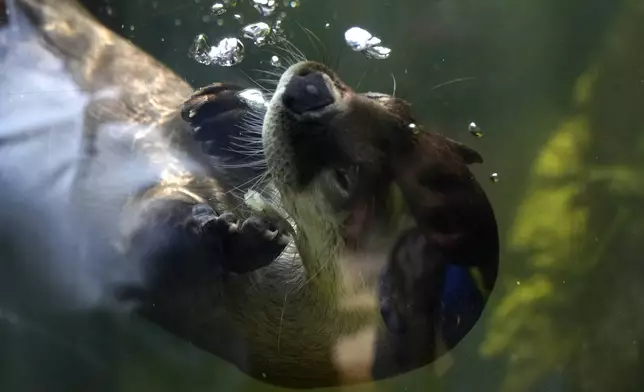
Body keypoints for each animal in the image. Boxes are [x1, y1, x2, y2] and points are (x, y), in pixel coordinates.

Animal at [1, 0, 498, 388]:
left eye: (344, 178)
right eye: (387, 103)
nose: (310, 87)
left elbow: (151, 243)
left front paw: (239, 236)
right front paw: (225, 109)